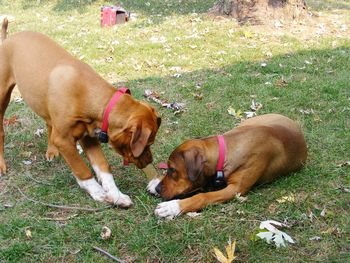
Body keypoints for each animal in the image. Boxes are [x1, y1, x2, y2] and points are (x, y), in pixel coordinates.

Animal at [0, 19, 161, 208]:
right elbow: (82, 170)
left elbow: (103, 167)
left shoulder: (88, 137)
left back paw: (51, 151)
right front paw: (98, 193)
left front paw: (116, 194)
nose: (149, 162)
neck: (86, 93)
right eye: (148, 144)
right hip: (2, 97)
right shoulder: (64, 141)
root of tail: (8, 39)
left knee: (49, 123)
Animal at [154, 113, 308, 219]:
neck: (225, 153)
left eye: (172, 169)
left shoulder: (235, 190)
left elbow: (203, 196)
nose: (158, 188)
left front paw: (173, 206)